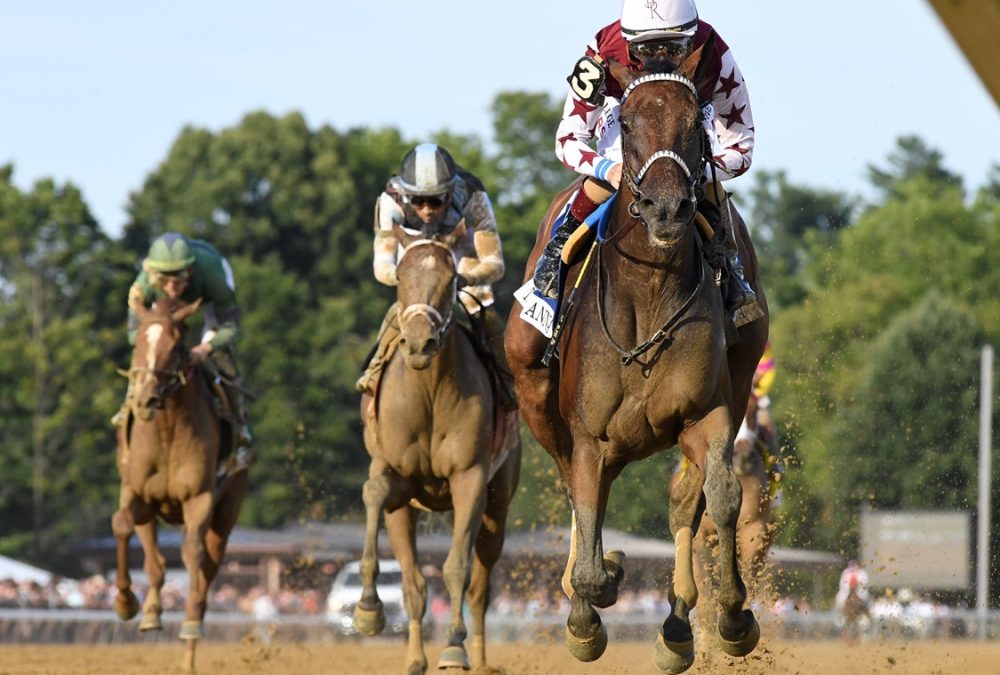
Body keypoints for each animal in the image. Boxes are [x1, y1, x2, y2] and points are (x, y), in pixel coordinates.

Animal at [110, 300, 247, 672]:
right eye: (138, 344)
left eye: (176, 346)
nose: (145, 399)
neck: (168, 430)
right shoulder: (138, 493)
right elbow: (123, 525)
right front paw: (126, 603)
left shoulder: (200, 498)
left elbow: (192, 553)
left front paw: (189, 628)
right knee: (155, 563)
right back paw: (150, 614)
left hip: (227, 512)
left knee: (207, 567)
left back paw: (190, 642)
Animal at [354, 228, 524, 675]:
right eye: (400, 276)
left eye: (450, 280)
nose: (419, 342)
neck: (428, 393)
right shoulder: (397, 477)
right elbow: (374, 493)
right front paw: (368, 609)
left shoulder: (470, 480)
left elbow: (457, 568)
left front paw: (454, 649)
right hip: (406, 512)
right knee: (414, 583)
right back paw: (415, 658)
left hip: (498, 507)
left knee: (480, 588)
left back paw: (478, 660)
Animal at [504, 34, 768, 672]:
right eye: (625, 120)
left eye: (695, 120)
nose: (667, 208)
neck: (648, 295)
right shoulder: (589, 435)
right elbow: (587, 520)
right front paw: (589, 607)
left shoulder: (710, 414)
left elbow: (721, 497)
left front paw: (733, 617)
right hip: (534, 388)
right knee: (578, 494)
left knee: (685, 506)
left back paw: (676, 629)